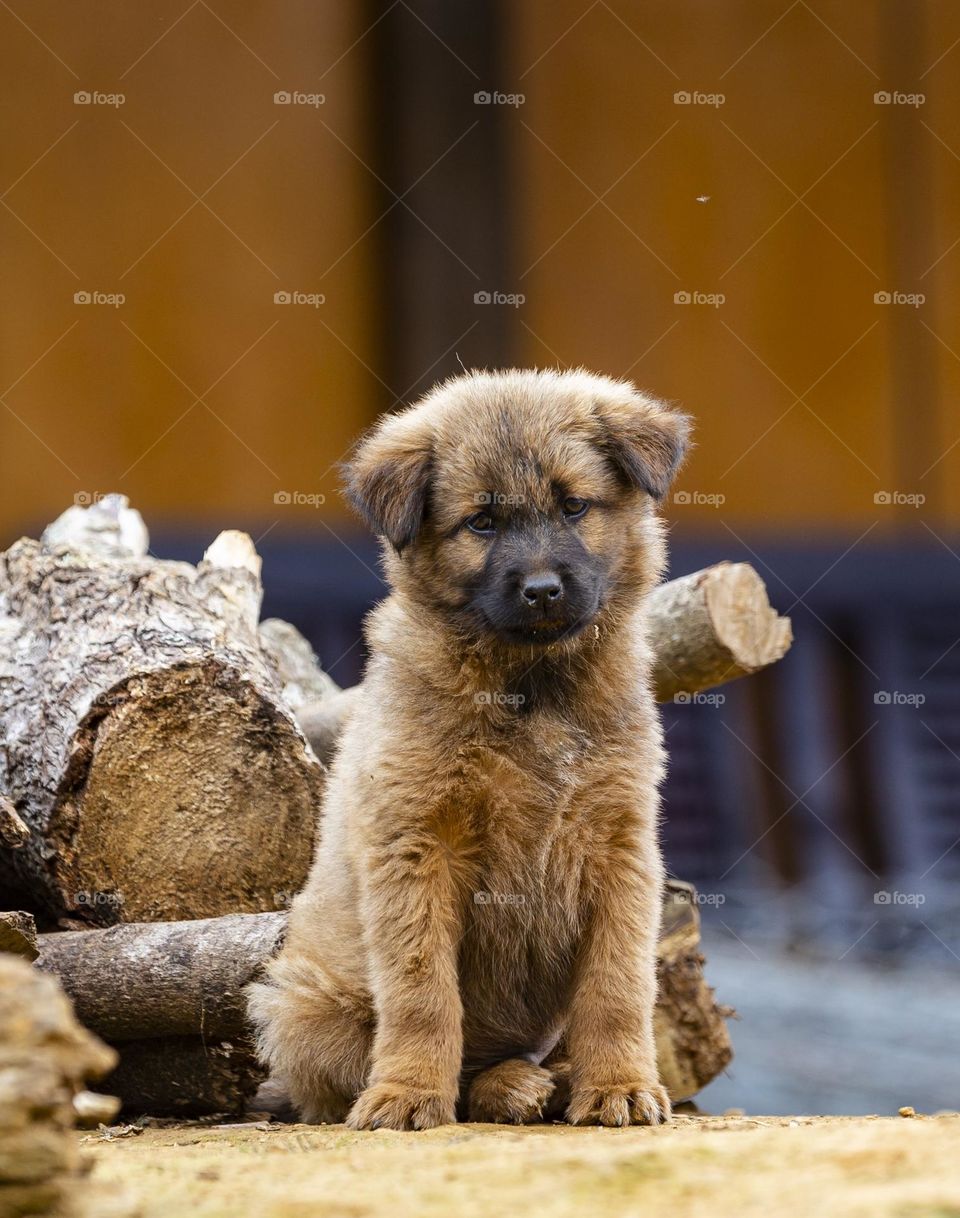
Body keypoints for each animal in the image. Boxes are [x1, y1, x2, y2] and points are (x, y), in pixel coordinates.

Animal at [247, 367, 691, 1130]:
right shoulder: (417, 846)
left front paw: (619, 1086)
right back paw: (503, 1086)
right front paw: (407, 1094)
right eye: (481, 522)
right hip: (300, 1005)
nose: (542, 591)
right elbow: (424, 995)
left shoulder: (621, 846)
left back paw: (552, 1080)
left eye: (574, 506)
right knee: (424, 1066)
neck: (529, 687)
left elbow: (616, 988)